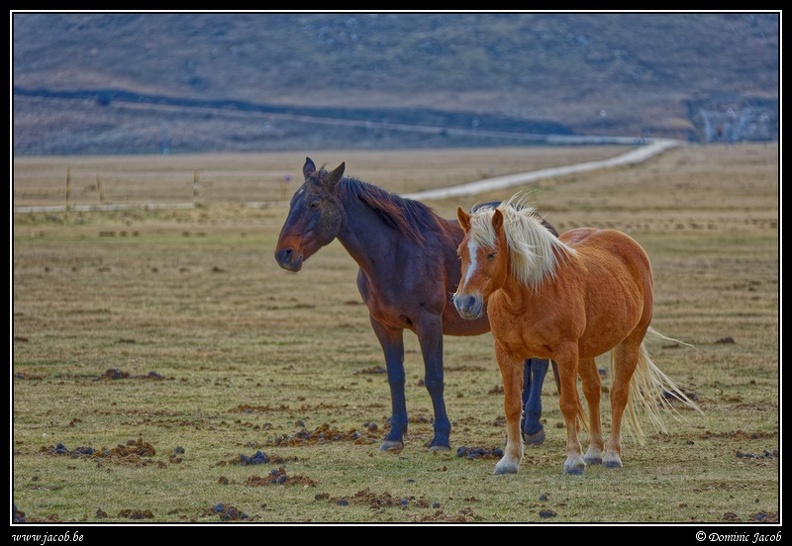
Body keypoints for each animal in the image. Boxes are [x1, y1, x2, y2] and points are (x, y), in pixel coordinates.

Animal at [276, 157, 560, 450]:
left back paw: (531, 428)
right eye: (291, 203)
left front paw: (441, 436)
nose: (284, 254)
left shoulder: (429, 323)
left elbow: (434, 378)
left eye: (314, 204)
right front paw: (394, 435)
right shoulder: (383, 326)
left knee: (538, 366)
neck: (395, 256)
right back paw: (524, 429)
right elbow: (395, 376)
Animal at [452, 196, 700, 472]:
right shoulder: (507, 354)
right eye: (460, 253)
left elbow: (569, 404)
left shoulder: (565, 351)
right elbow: (513, 406)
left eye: (492, 254)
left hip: (629, 343)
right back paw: (593, 451)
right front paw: (509, 460)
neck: (529, 296)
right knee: (593, 391)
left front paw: (573, 459)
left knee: (618, 394)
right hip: (586, 351)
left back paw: (611, 454)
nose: (464, 303)